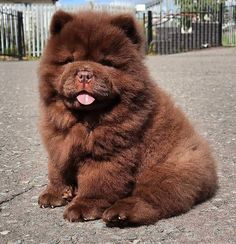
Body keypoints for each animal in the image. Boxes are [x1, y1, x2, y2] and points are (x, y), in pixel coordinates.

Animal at [38, 10, 218, 227]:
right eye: (69, 60)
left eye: (106, 63)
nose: (85, 74)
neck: (82, 120)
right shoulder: (58, 142)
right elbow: (56, 168)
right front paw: (56, 194)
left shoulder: (108, 153)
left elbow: (96, 180)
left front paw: (83, 207)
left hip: (165, 170)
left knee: (153, 199)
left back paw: (119, 213)